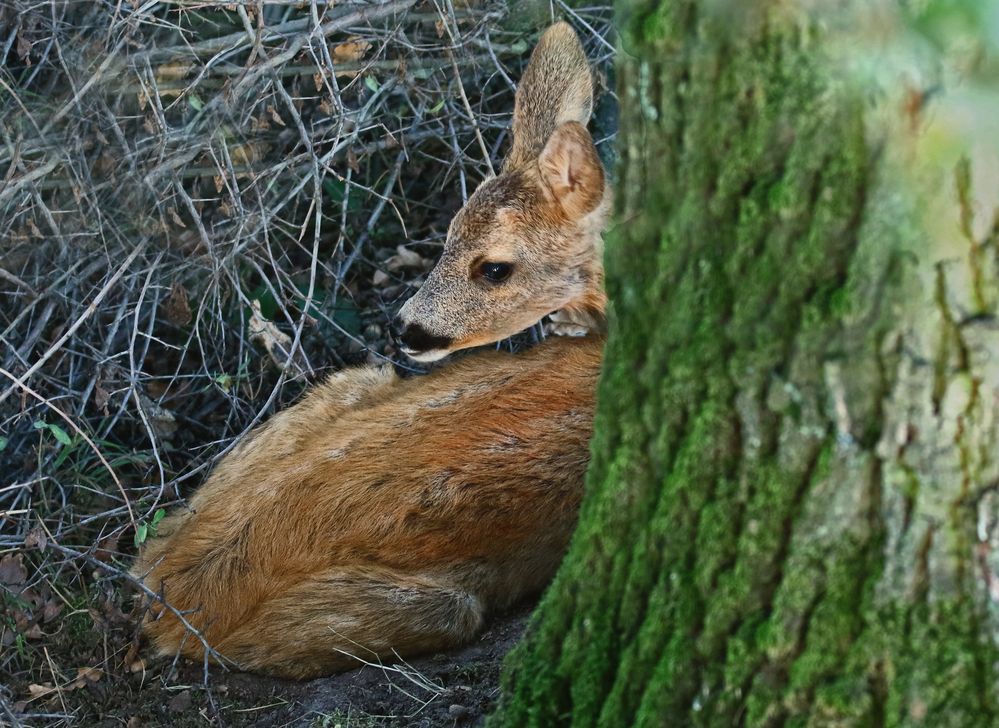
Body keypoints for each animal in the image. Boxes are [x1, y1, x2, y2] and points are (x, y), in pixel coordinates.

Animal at [132, 22, 608, 684]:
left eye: (493, 267)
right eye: (449, 234)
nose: (404, 330)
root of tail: (167, 597)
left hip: (352, 382)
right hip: (441, 607)